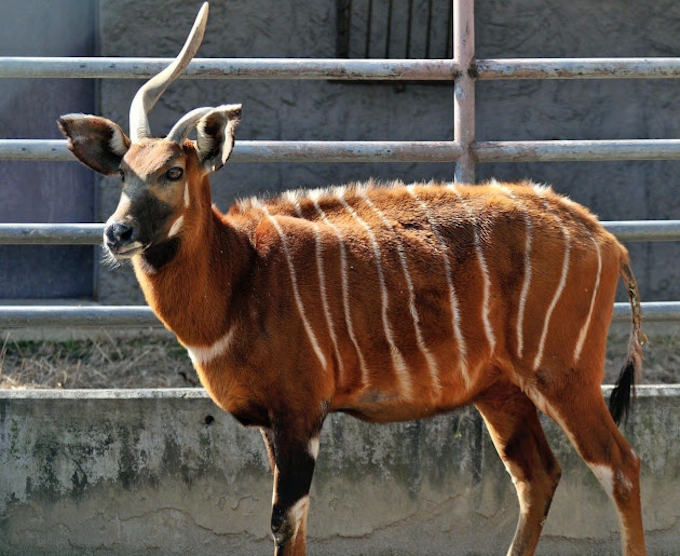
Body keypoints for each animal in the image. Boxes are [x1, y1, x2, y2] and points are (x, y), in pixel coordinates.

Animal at [55, 5, 644, 556]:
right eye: (123, 173)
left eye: (174, 172)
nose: (117, 232)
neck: (242, 272)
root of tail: (604, 238)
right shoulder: (274, 422)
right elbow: (296, 525)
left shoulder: (300, 411)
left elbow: (284, 520)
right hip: (501, 391)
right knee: (538, 475)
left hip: (565, 376)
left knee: (621, 465)